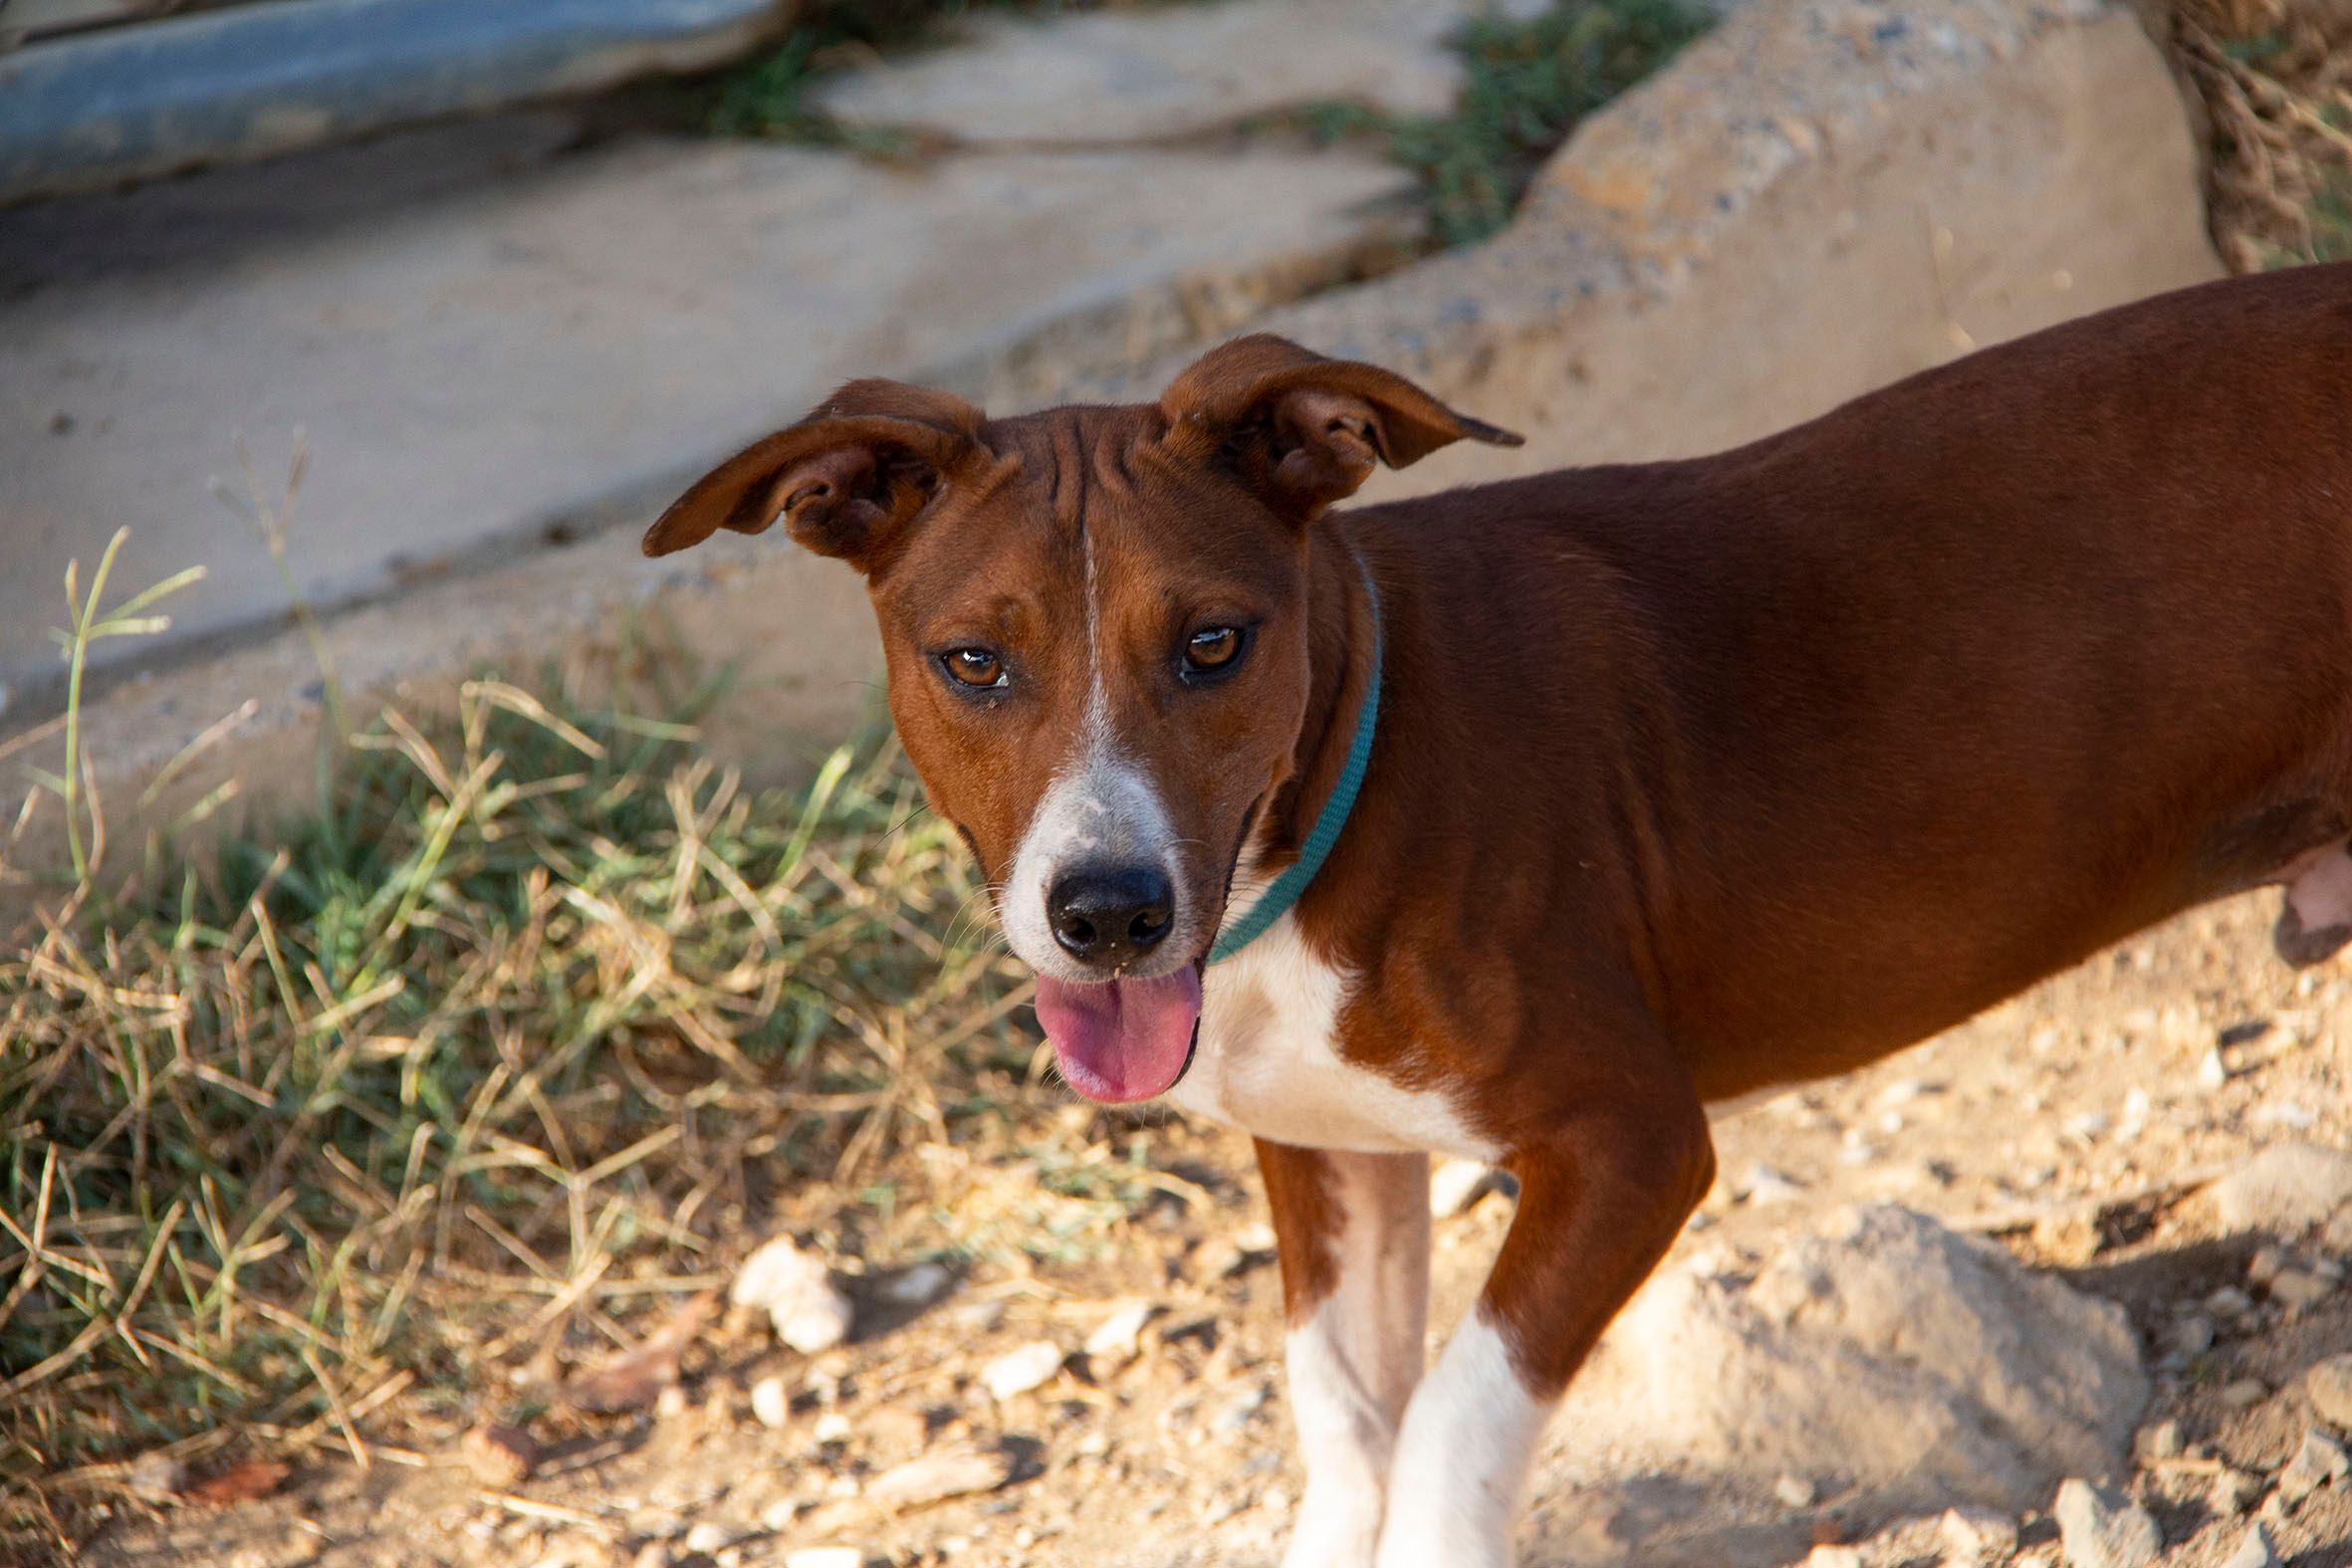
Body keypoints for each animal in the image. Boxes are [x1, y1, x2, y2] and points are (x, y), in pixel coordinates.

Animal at [644, 261, 2352, 1566]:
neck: (1334, 802)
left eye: (1212, 642)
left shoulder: (1631, 1138)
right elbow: (1344, 1414)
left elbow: (1452, 1415)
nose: (1109, 913)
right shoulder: (1324, 1150)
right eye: (971, 661)